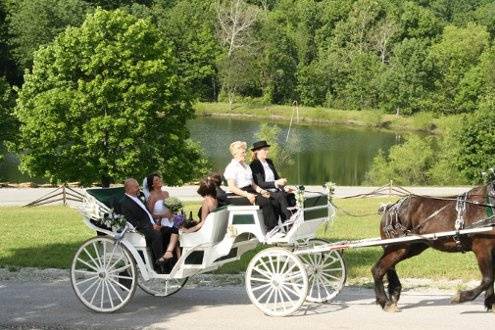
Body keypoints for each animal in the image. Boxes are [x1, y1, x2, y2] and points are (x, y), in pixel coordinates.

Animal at [374, 183, 495, 312]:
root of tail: (391, 208)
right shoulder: (482, 249)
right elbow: (488, 279)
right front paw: (460, 296)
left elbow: (491, 278)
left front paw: (490, 303)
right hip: (399, 247)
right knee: (378, 269)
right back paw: (386, 302)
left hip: (410, 248)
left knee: (389, 266)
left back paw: (394, 294)